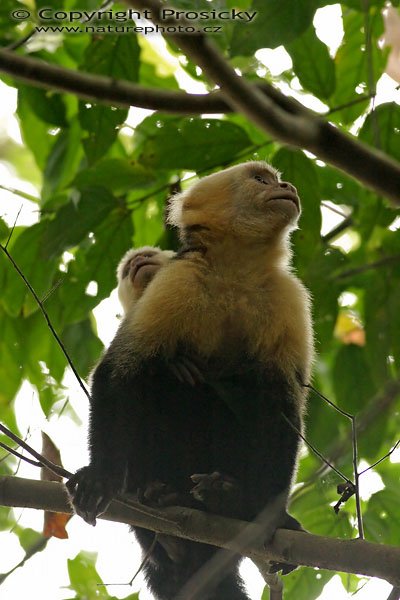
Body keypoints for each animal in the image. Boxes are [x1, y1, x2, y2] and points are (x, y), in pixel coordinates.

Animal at [67, 161, 314, 600]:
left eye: (274, 179)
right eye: (261, 180)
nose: (287, 186)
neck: (237, 270)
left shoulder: (287, 295)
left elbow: (282, 407)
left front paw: (273, 516)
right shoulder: (180, 279)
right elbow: (120, 370)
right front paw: (100, 477)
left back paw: (227, 500)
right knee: (166, 382)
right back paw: (159, 501)